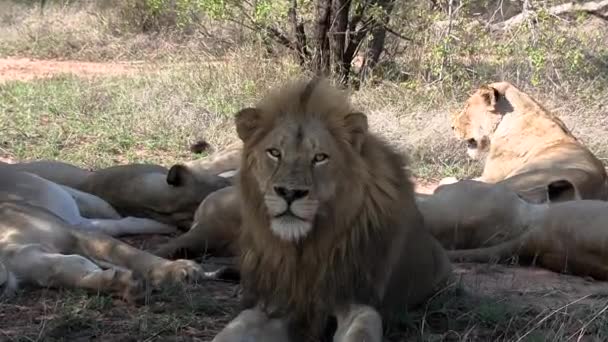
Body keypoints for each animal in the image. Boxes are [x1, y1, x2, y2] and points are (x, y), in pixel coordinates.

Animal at [216, 78, 454, 342]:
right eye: (275, 153)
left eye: (320, 157)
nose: (289, 193)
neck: (304, 250)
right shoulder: (276, 304)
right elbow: (231, 332)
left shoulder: (355, 299)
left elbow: (362, 331)